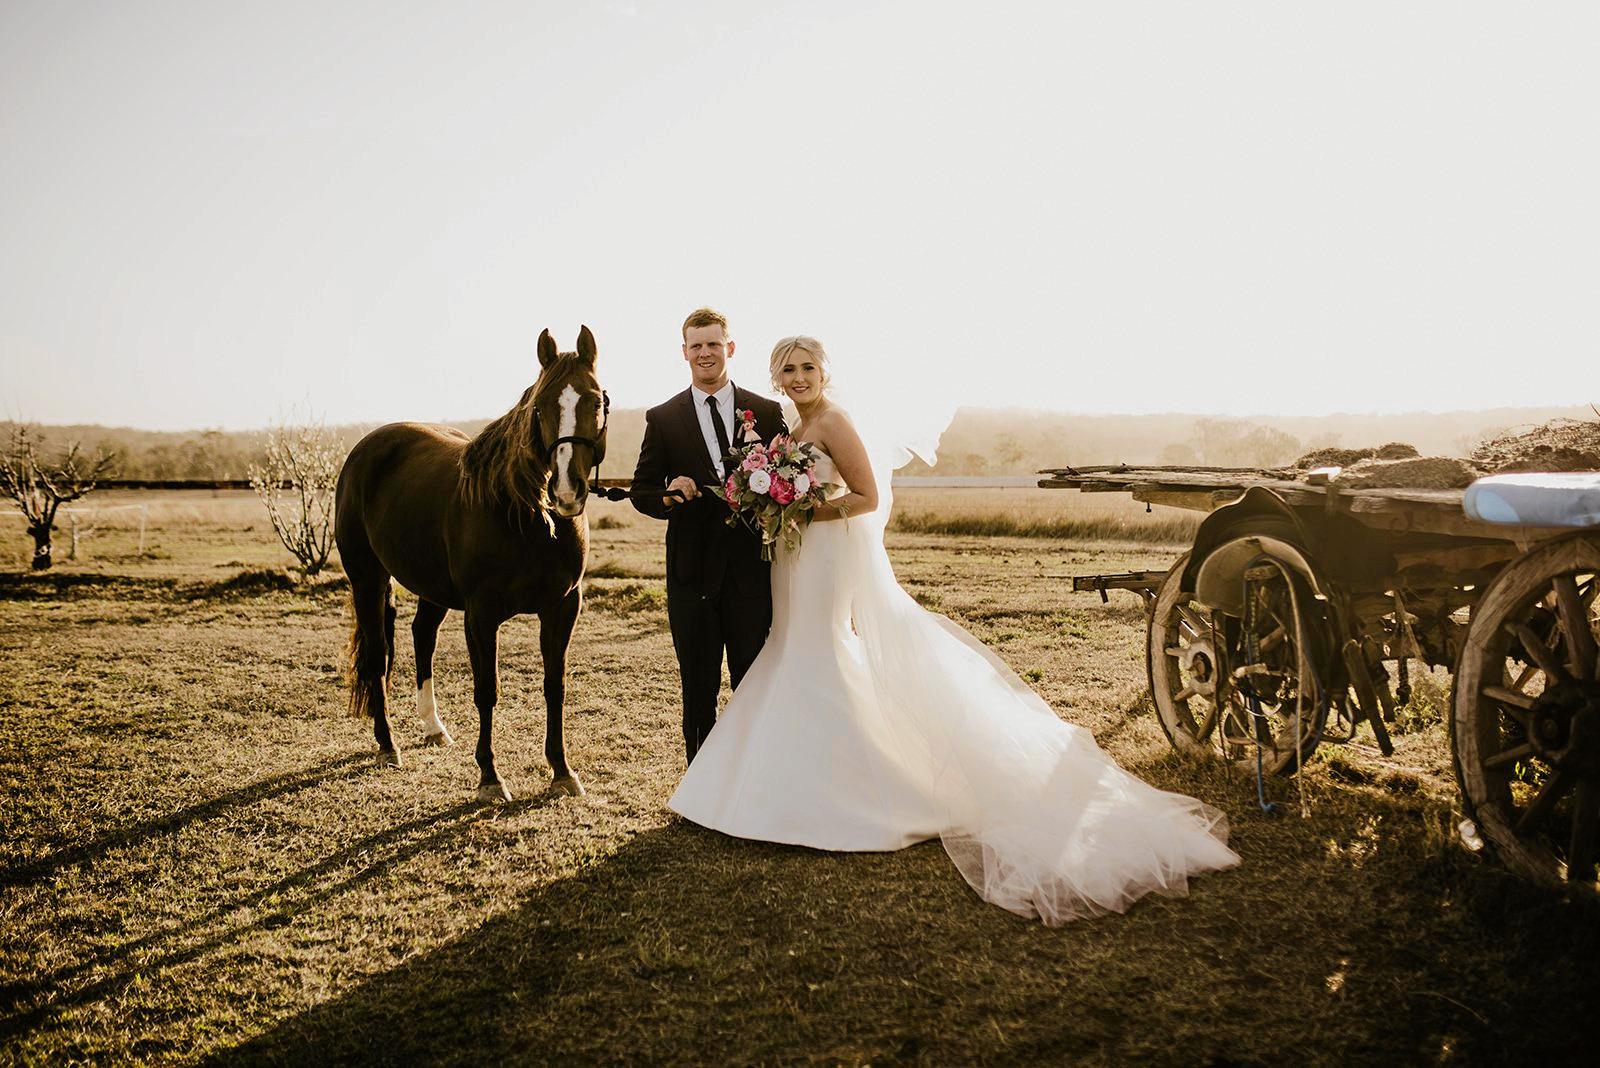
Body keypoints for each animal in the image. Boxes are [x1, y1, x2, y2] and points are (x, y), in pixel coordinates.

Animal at [334, 326, 608, 799]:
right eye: (540, 406)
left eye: (594, 401)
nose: (566, 491)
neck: (520, 510)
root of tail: (364, 451)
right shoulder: (480, 615)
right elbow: (487, 691)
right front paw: (490, 777)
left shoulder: (562, 607)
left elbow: (554, 686)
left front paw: (561, 770)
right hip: (367, 581)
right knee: (377, 656)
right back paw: (388, 746)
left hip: (431, 587)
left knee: (422, 636)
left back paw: (433, 728)